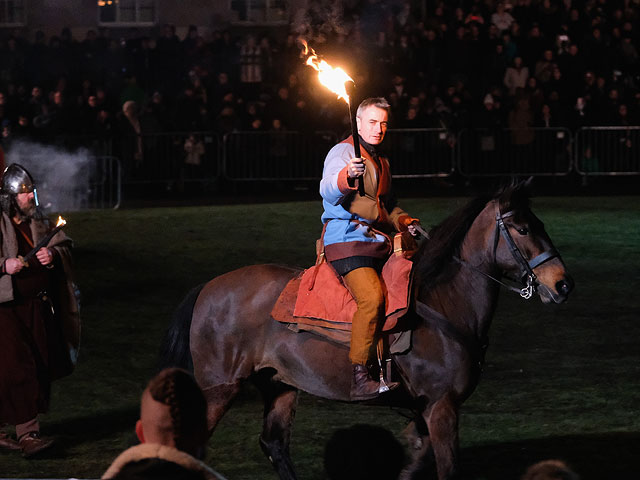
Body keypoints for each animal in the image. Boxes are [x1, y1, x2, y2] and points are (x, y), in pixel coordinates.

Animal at [161, 182, 576, 478]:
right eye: (523, 228)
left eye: (539, 224)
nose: (562, 285)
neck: (442, 303)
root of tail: (207, 288)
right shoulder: (442, 407)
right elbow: (446, 468)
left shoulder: (424, 411)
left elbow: (417, 461)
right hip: (220, 389)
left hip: (279, 384)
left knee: (275, 445)